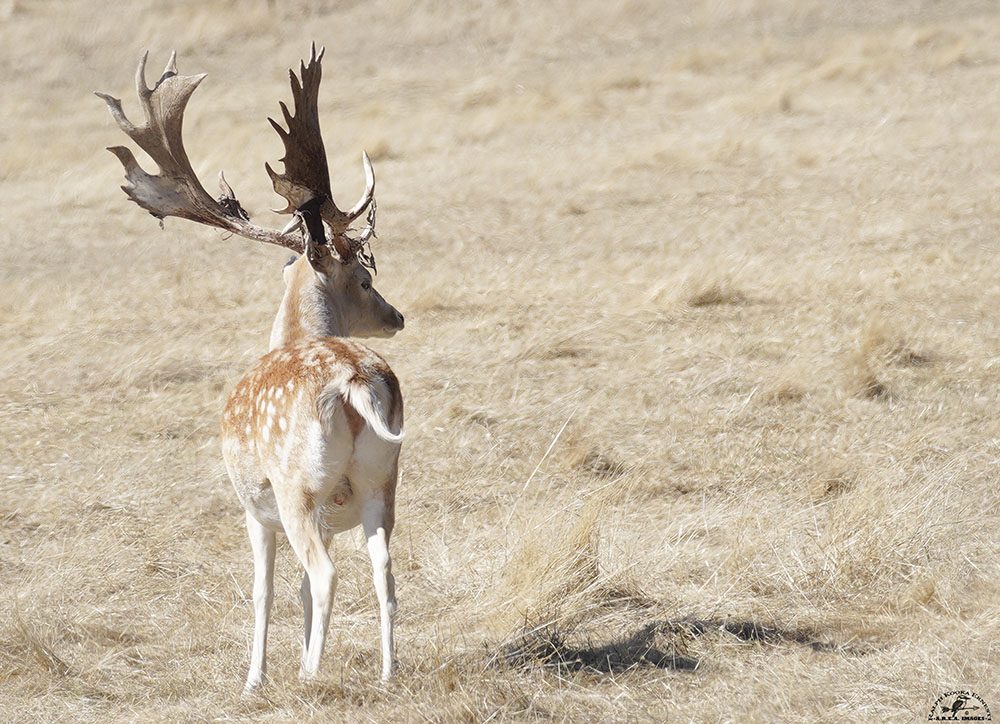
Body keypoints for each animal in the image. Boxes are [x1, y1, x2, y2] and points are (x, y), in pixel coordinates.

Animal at [95, 46, 404, 692]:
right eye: (367, 279)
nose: (397, 316)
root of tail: (354, 383)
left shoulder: (252, 508)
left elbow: (264, 592)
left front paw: (253, 679)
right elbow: (297, 594)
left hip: (296, 488)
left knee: (326, 573)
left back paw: (309, 677)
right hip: (382, 483)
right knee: (384, 572)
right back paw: (389, 674)